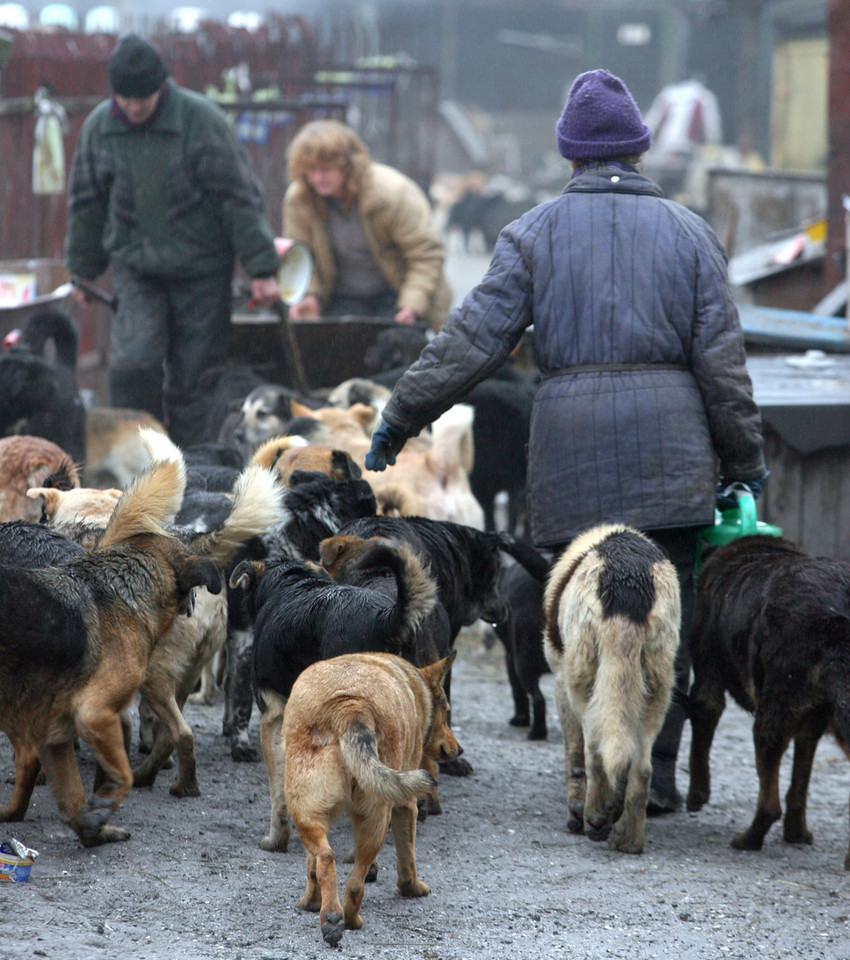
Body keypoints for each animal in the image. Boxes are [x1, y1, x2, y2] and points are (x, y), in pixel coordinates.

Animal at [282, 652, 458, 944]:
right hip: (377, 817)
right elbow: (407, 858)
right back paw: (350, 920)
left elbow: (311, 865)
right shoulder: (406, 806)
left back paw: (329, 915)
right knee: (355, 883)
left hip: (307, 812)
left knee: (326, 860)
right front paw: (412, 887)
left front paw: (312, 901)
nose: (458, 749)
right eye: (445, 712)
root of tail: (350, 706)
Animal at [684, 532, 848, 872]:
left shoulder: (707, 687)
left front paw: (696, 796)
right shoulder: (811, 723)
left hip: (770, 719)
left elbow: (698, 750)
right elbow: (798, 787)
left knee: (769, 804)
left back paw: (748, 840)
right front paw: (796, 834)